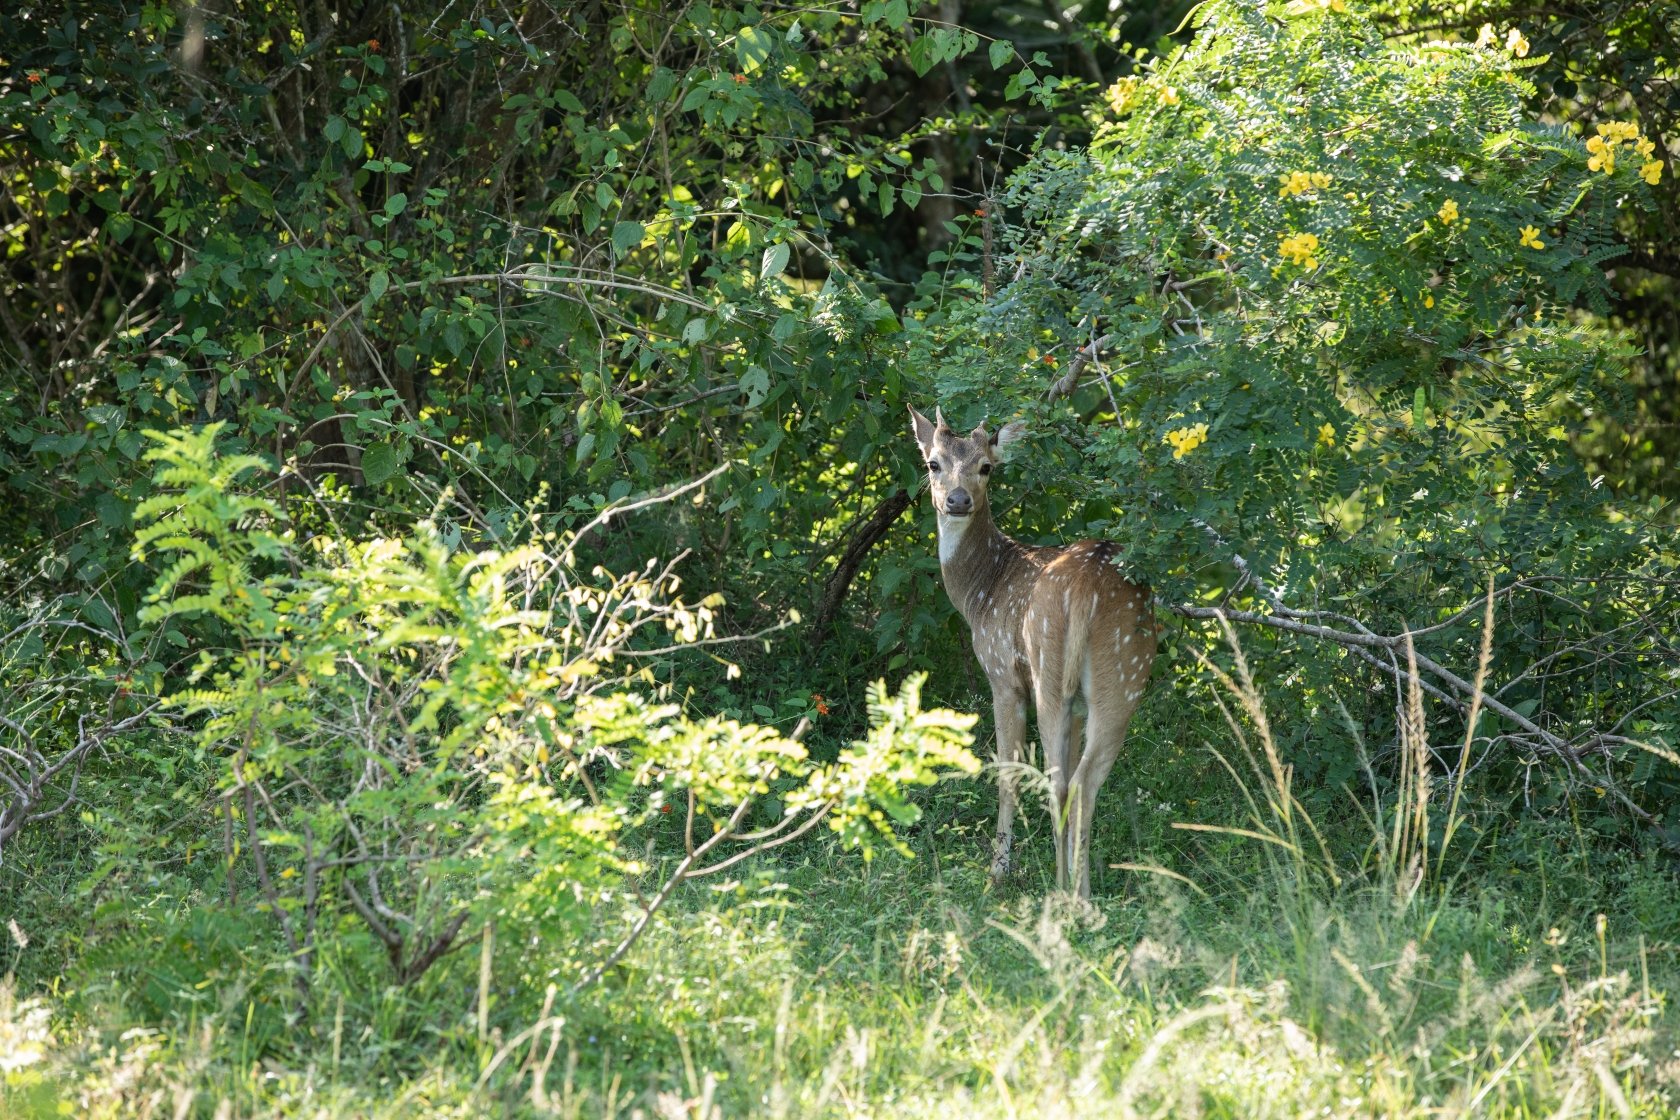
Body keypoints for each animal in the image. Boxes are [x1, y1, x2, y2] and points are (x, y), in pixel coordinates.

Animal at [907, 408, 1155, 900]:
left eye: (986, 466)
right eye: (933, 463)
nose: (958, 500)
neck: (981, 593)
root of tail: (1087, 584)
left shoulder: (1002, 675)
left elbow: (1006, 774)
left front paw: (997, 873)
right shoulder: (1073, 706)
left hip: (1061, 674)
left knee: (1066, 782)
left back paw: (1068, 893)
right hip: (1112, 674)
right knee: (1076, 780)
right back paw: (1076, 890)